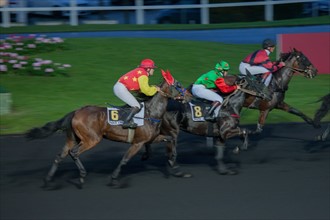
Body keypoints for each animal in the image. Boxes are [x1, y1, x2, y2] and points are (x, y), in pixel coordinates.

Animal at [25, 69, 186, 188]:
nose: (188, 95)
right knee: (74, 153)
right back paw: (82, 176)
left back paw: (48, 179)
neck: (150, 112)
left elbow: (169, 139)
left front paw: (174, 165)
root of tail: (76, 112)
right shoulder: (137, 143)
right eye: (178, 84)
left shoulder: (152, 138)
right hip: (91, 139)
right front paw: (114, 178)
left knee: (60, 156)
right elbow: (125, 159)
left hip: (72, 138)